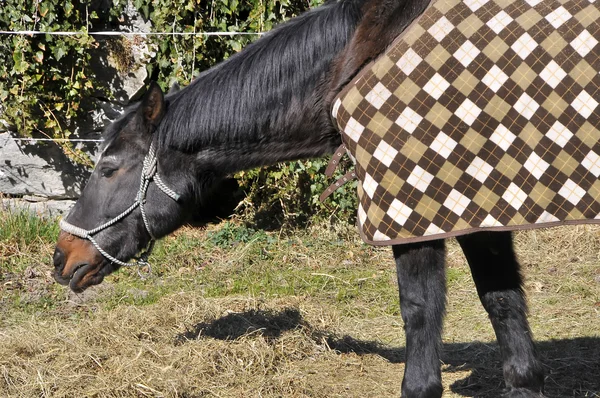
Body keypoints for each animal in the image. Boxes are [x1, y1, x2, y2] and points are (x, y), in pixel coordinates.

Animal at [52, 0, 556, 394]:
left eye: (109, 168)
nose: (62, 257)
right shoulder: (475, 208)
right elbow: (503, 304)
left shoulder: (415, 209)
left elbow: (420, 312)